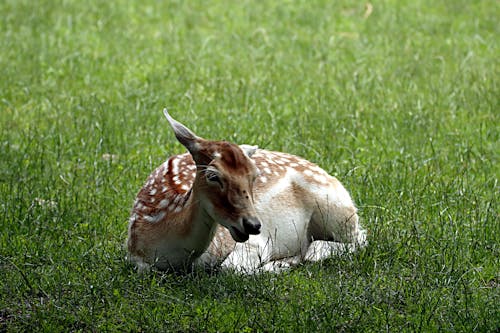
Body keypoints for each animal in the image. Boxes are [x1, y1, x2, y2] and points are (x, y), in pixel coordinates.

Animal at [126, 109, 368, 272]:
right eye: (213, 175)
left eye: (254, 175)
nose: (253, 224)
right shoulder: (133, 257)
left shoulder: (256, 243)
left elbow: (230, 268)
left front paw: (280, 265)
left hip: (336, 211)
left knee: (358, 239)